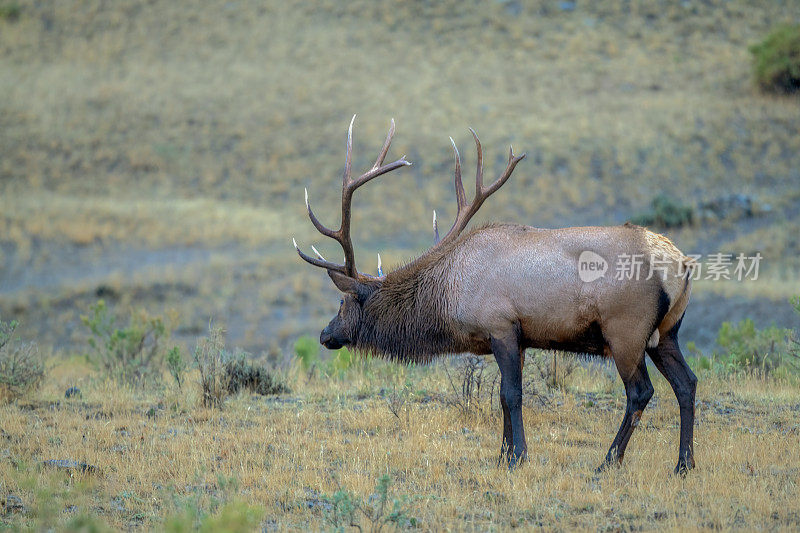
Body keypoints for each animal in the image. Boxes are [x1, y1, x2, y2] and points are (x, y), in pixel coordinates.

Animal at [292, 117, 692, 474]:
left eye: (343, 302)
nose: (326, 335)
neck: (450, 296)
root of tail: (681, 265)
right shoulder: (519, 337)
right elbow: (502, 395)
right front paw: (503, 455)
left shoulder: (501, 326)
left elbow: (512, 394)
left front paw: (517, 457)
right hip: (666, 333)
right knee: (687, 383)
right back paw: (683, 464)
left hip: (626, 331)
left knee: (641, 391)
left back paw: (608, 461)